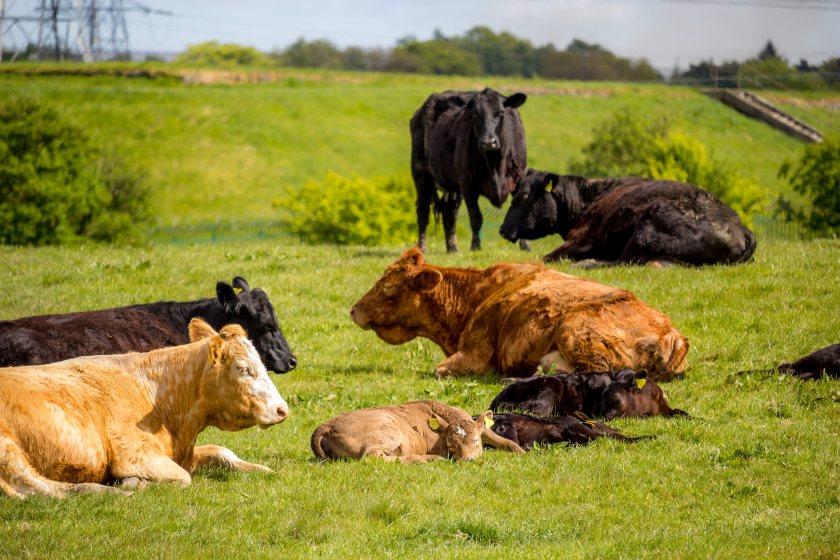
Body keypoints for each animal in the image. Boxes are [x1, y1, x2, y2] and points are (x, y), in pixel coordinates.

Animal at [0, 319, 289, 498]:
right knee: (37, 486)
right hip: (8, 448)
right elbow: (183, 477)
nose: (282, 410)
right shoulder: (136, 454)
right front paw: (132, 481)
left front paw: (260, 469)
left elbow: (222, 451)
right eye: (244, 369)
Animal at [310, 400, 523, 463]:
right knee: (373, 457)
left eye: (476, 441)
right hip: (389, 431)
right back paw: (426, 459)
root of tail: (326, 425)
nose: (467, 460)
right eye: (452, 444)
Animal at [350, 248, 689, 381]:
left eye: (389, 286)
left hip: (576, 330)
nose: (354, 310)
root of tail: (671, 334)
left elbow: (439, 370)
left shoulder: (475, 353)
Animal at [410, 88, 527, 252]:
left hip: (452, 186)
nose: (488, 142)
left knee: (450, 213)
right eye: (475, 114)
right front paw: (475, 247)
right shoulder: (468, 184)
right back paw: (422, 247)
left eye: (500, 113)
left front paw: (526, 246)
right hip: (421, 176)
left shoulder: (519, 179)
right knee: (423, 211)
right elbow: (476, 217)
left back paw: (453, 248)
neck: (495, 164)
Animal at [499, 170, 757, 266]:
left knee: (622, 261)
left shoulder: (580, 239)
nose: (502, 229)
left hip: (649, 223)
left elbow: (545, 258)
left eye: (523, 196)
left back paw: (588, 262)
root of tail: (743, 228)